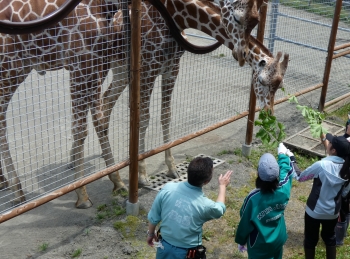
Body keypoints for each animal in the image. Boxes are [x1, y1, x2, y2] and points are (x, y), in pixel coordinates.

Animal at [97, 0, 288, 191]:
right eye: (262, 81)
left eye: (280, 84)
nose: (269, 112)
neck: (175, 17)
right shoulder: (148, 70)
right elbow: (143, 120)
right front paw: (143, 176)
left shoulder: (172, 68)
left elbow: (166, 115)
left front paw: (172, 168)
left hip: (121, 70)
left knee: (104, 107)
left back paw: (116, 179)